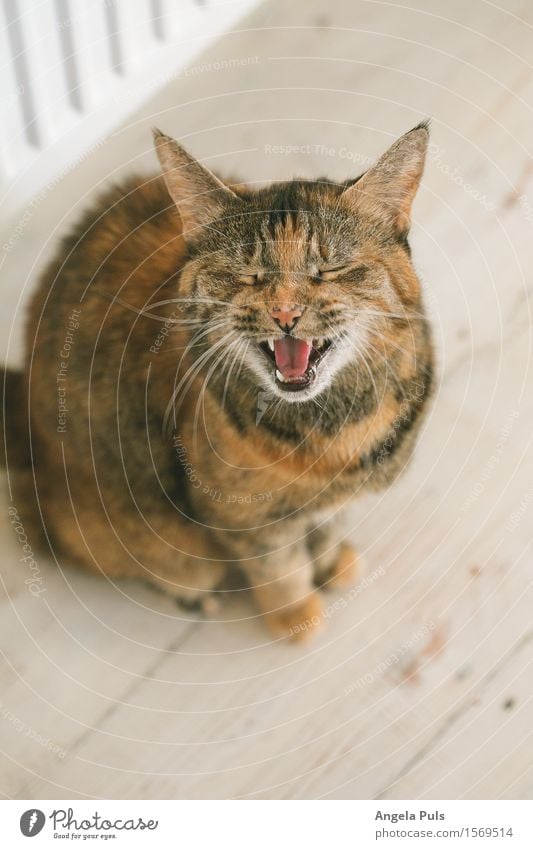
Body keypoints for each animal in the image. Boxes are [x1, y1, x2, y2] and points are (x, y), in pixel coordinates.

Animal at [16, 119, 432, 636]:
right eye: (246, 274)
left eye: (330, 269)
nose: (285, 313)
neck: (330, 424)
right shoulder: (241, 519)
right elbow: (278, 566)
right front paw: (296, 616)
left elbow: (327, 525)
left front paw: (333, 563)